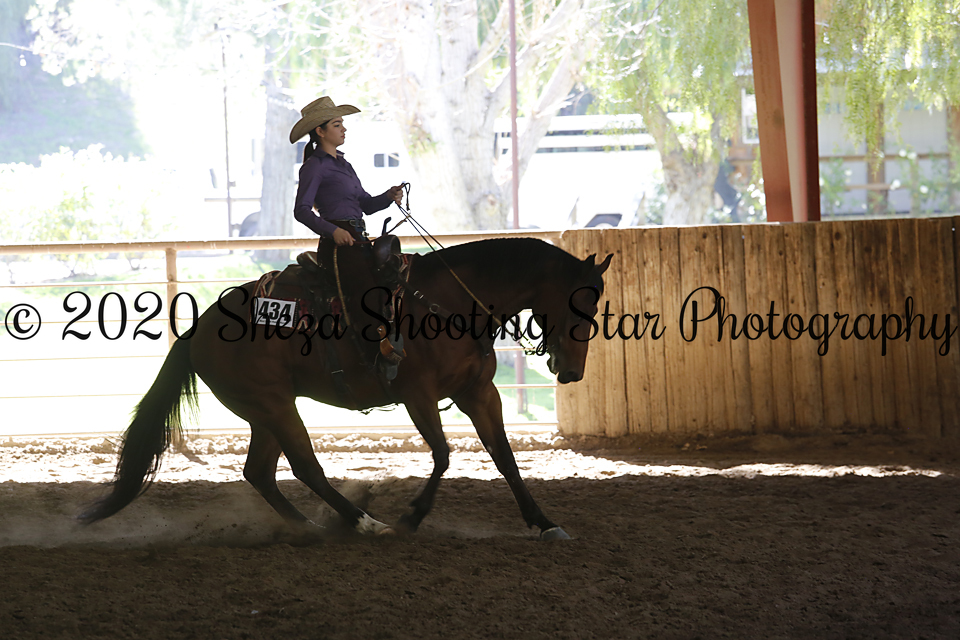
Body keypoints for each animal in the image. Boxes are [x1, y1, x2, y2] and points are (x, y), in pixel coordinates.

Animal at [80, 237, 612, 540]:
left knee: (260, 473)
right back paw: (363, 522)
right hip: (273, 405)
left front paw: (544, 523)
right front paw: (411, 518)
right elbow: (443, 454)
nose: (572, 372)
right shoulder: (418, 397)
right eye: (579, 305)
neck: (447, 303)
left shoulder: (479, 392)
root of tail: (201, 328)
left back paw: (310, 527)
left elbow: (505, 457)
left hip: (266, 410)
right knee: (304, 466)